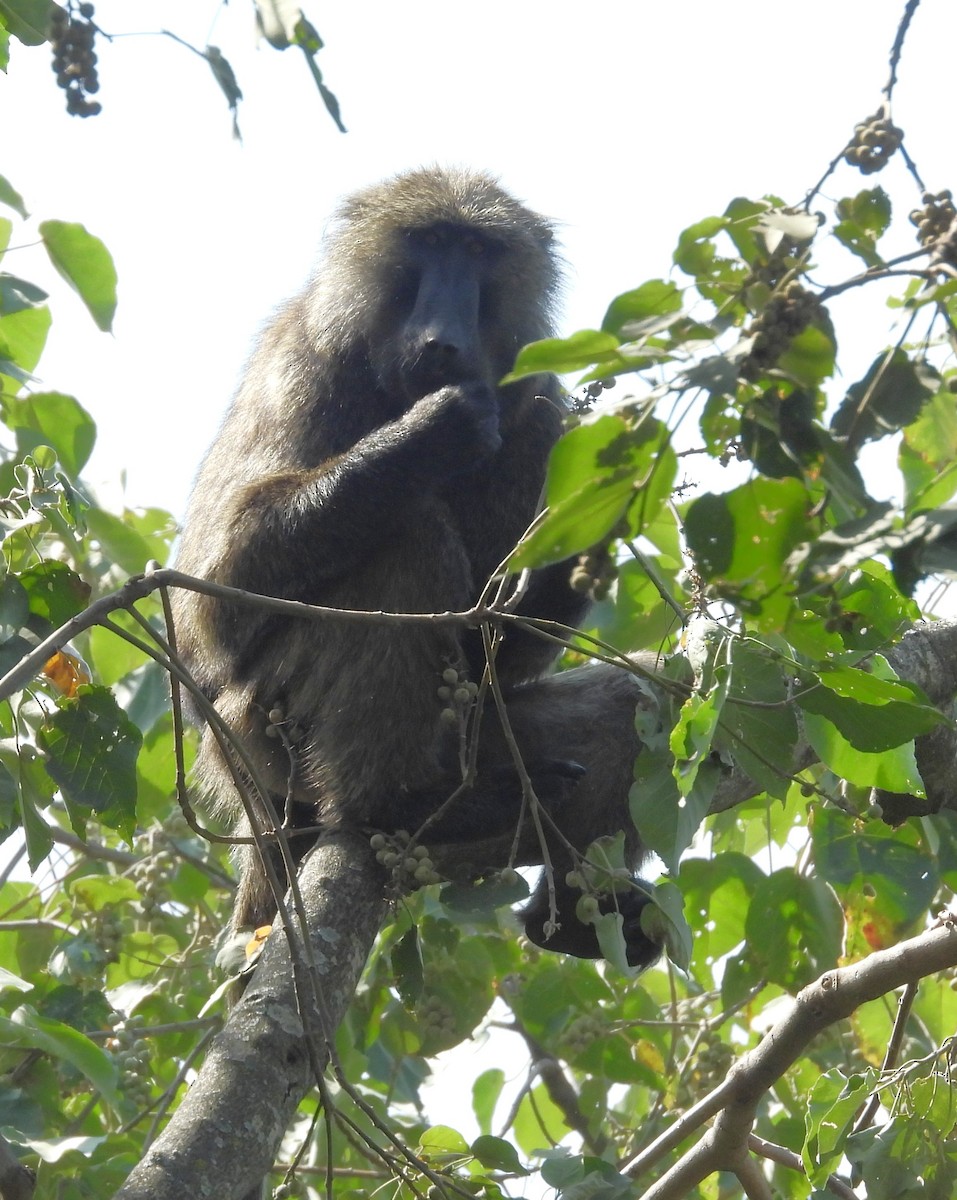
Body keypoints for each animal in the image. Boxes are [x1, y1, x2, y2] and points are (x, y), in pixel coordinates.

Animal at [171, 167, 662, 970]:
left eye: (477, 249)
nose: (442, 341)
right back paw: (392, 806)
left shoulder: (540, 410)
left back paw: (568, 915)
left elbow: (499, 652)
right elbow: (213, 600)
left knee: (633, 708)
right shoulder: (300, 361)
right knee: (410, 538)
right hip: (256, 729)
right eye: (428, 241)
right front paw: (429, 434)